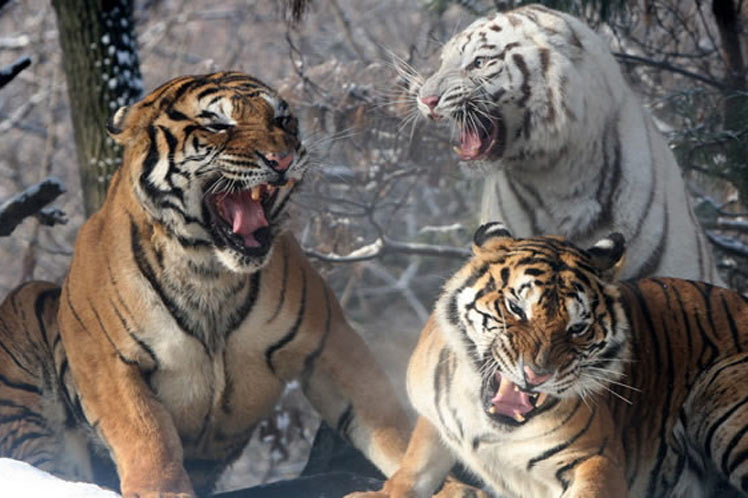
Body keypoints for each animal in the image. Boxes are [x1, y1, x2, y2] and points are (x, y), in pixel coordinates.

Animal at [0, 71, 411, 497]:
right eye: (219, 125)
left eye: (282, 120)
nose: (282, 159)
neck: (209, 271)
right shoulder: (106, 359)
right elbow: (146, 434)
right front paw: (162, 489)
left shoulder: (328, 342)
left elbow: (386, 421)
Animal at [349, 222, 748, 498]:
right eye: (515, 308)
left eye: (578, 327)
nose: (537, 374)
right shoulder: (433, 421)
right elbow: (412, 469)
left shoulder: (596, 460)